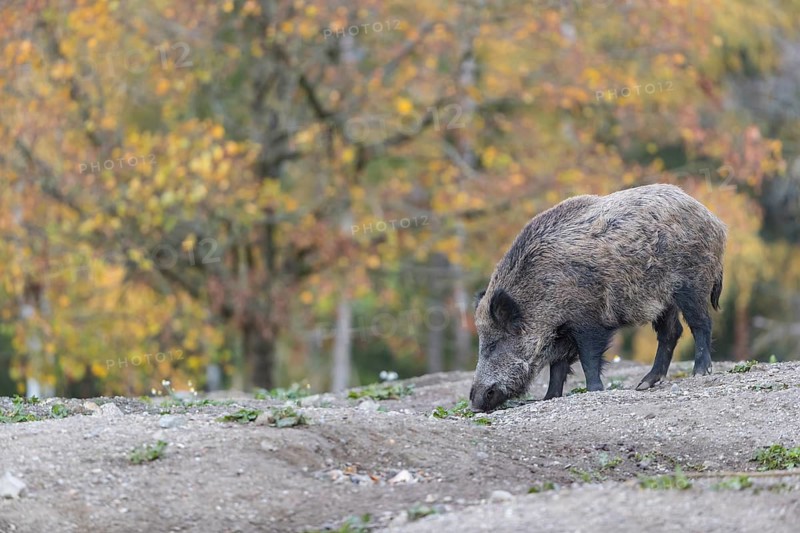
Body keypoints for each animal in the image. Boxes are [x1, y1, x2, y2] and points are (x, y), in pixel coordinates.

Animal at [469, 184, 726, 412]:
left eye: (494, 344)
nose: (475, 402)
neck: (542, 294)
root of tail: (715, 221)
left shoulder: (589, 320)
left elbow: (588, 359)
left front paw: (594, 390)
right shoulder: (561, 331)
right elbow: (558, 366)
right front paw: (549, 397)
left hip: (691, 284)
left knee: (701, 323)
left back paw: (700, 372)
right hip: (663, 301)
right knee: (671, 333)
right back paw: (644, 384)